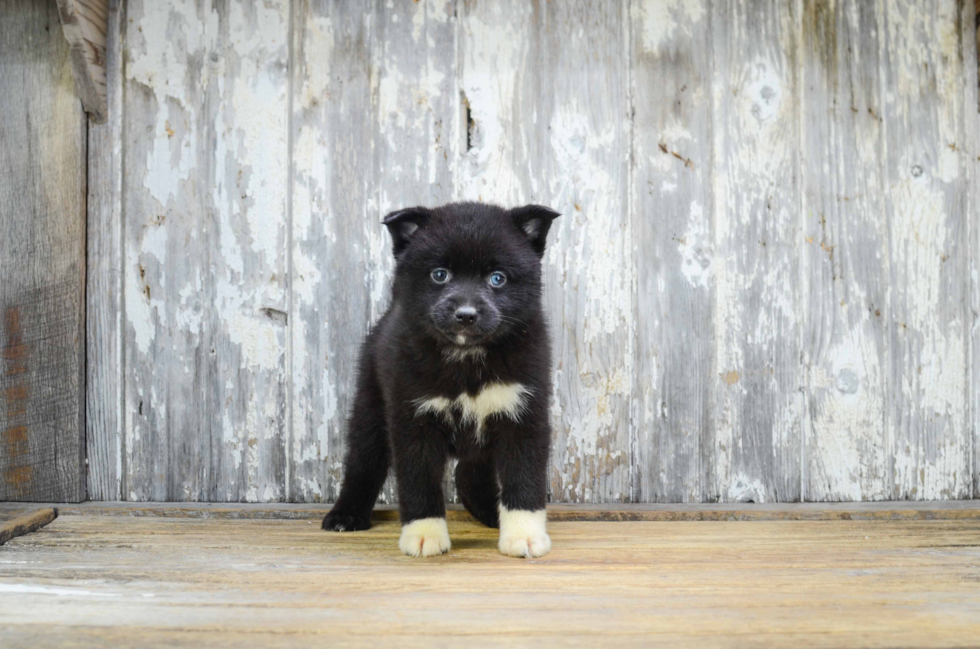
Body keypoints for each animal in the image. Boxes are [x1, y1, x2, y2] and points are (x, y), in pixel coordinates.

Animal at [322, 201, 560, 556]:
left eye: (497, 279)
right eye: (439, 274)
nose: (465, 314)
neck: (465, 360)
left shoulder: (523, 414)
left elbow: (524, 478)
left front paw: (523, 534)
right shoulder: (413, 417)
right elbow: (419, 480)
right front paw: (424, 534)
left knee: (469, 472)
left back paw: (491, 511)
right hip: (370, 404)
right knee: (363, 462)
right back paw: (346, 514)